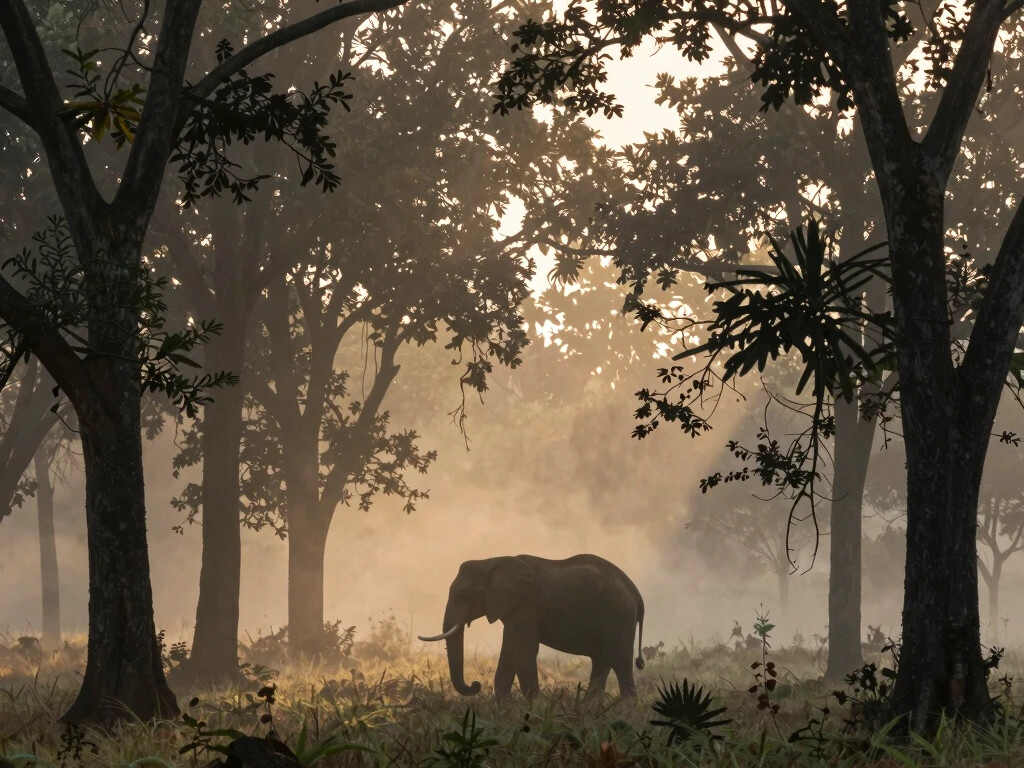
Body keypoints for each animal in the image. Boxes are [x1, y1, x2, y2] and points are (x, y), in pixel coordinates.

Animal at [417, 554, 646, 701]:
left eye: (464, 595)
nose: (475, 685)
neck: (492, 561)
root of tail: (636, 592)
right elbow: (510, 649)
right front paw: (506, 706)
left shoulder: (526, 606)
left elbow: (521, 650)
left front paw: (533, 707)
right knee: (603, 662)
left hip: (617, 617)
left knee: (619, 661)